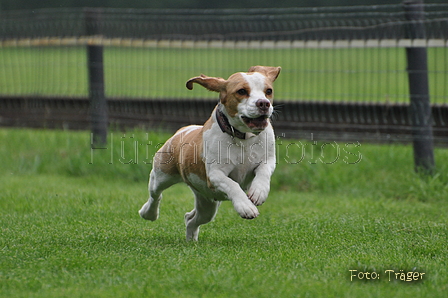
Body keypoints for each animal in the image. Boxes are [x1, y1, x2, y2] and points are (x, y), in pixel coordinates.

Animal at [138, 65, 282, 240]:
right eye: (241, 91)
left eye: (268, 91)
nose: (263, 103)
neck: (243, 138)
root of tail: (182, 130)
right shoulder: (215, 174)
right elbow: (232, 185)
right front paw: (245, 207)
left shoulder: (268, 159)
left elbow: (264, 170)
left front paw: (259, 191)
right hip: (162, 175)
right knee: (155, 194)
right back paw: (148, 213)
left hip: (207, 203)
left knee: (190, 218)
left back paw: (191, 240)